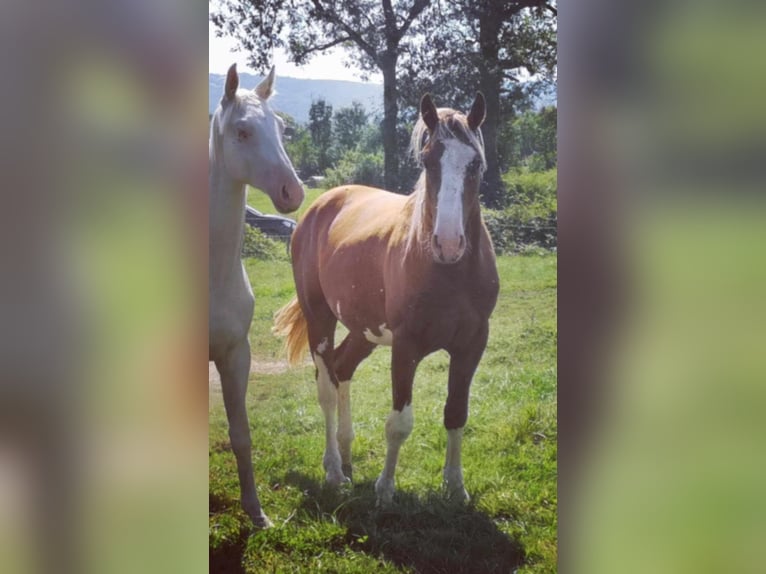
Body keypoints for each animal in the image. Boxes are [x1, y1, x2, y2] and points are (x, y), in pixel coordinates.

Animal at [274, 92, 498, 506]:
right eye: (427, 160)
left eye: (474, 162)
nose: (448, 243)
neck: (449, 272)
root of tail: (321, 205)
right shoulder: (405, 346)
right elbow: (399, 423)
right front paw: (386, 489)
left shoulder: (472, 344)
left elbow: (456, 413)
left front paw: (455, 487)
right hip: (320, 319)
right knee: (326, 386)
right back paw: (334, 470)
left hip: (364, 331)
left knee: (342, 369)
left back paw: (347, 456)